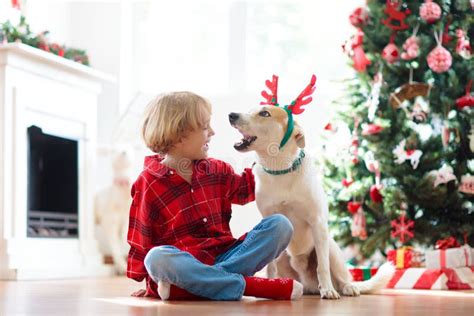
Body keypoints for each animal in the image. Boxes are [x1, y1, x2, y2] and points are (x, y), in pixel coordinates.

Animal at [228, 74, 394, 298]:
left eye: (264, 113)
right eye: (250, 109)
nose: (231, 115)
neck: (281, 168)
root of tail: (307, 283)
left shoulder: (317, 223)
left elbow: (322, 266)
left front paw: (329, 291)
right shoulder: (271, 218)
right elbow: (270, 265)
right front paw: (271, 283)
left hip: (330, 246)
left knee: (341, 276)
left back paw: (343, 288)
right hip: (285, 255)